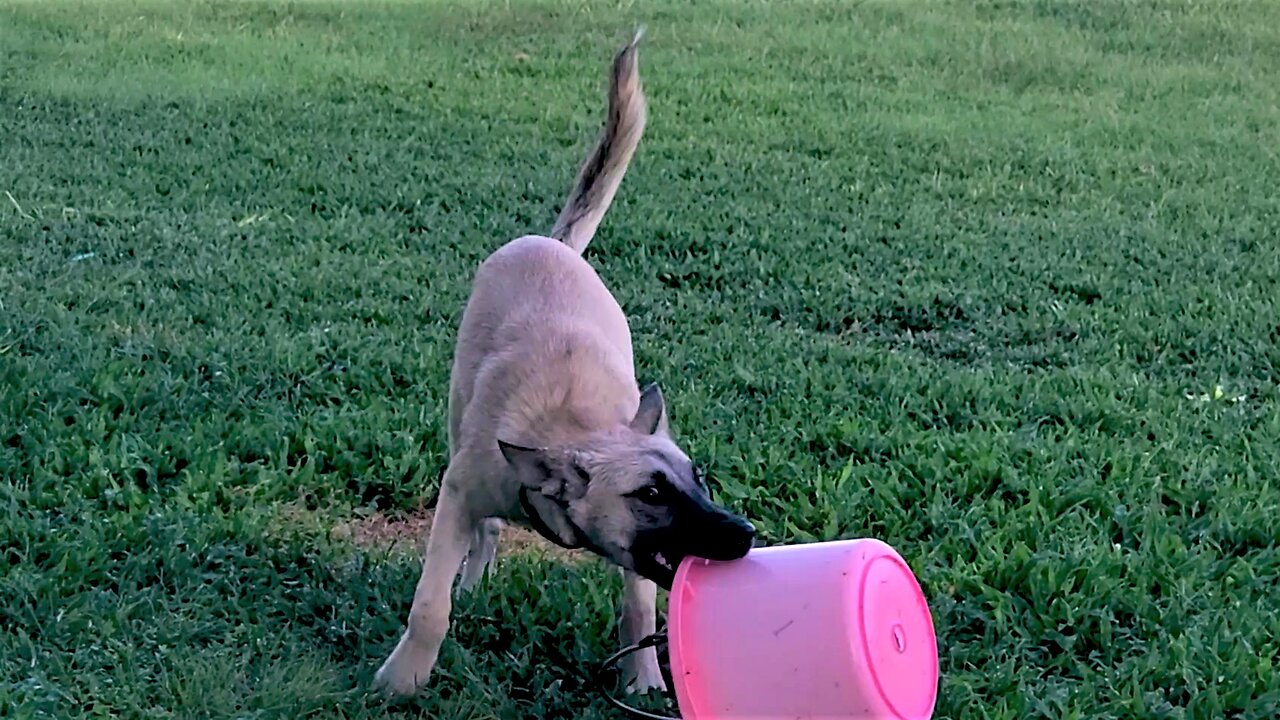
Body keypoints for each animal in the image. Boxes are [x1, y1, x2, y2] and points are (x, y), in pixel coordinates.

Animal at [371, 32, 752, 696]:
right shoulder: (458, 494)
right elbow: (430, 603)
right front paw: (402, 679)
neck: (575, 425)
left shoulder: (638, 562)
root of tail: (550, 243)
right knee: (486, 530)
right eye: (652, 492)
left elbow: (637, 607)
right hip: (456, 415)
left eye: (698, 479)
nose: (746, 535)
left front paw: (643, 678)